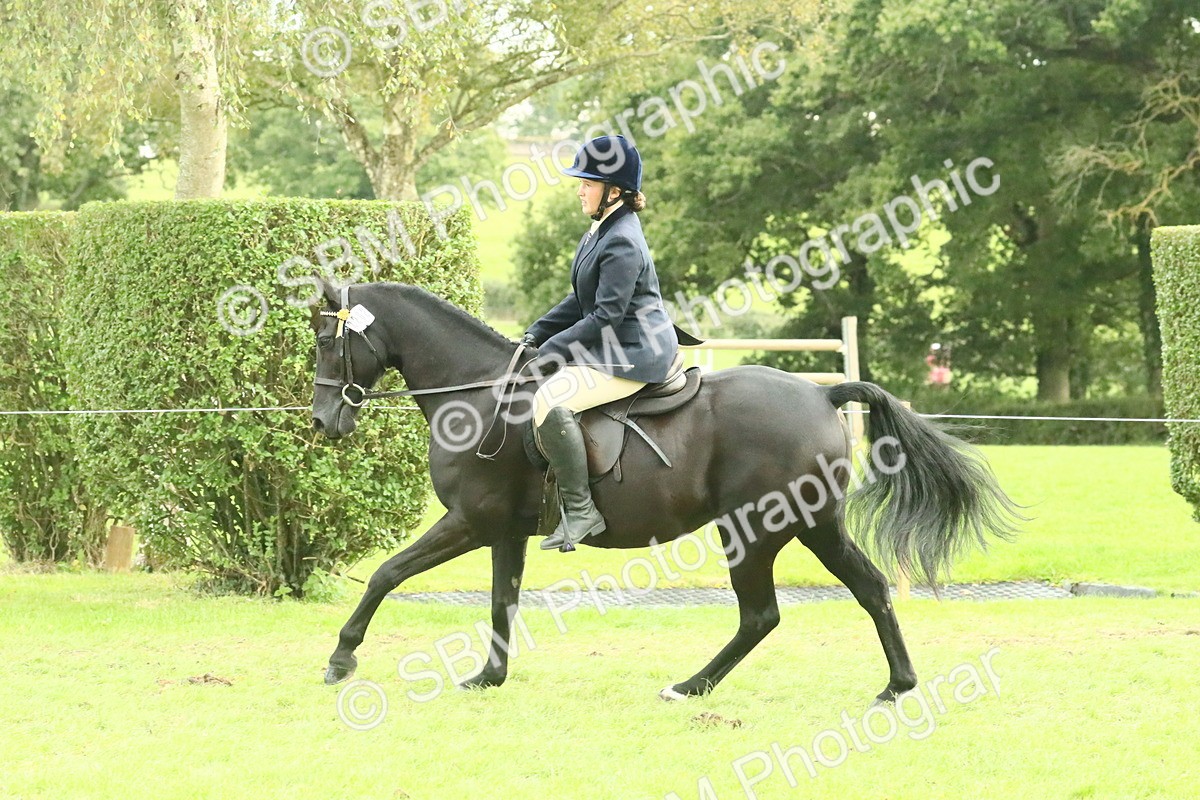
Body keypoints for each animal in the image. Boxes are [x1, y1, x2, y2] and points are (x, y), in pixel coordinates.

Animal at [309, 279, 1021, 704]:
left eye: (324, 339)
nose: (322, 422)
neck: (479, 394)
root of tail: (821, 394)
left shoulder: (471, 520)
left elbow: (386, 573)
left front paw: (341, 658)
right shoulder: (505, 530)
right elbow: (499, 604)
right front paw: (489, 677)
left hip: (759, 529)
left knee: (763, 613)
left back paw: (691, 686)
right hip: (814, 526)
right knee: (869, 588)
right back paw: (898, 685)